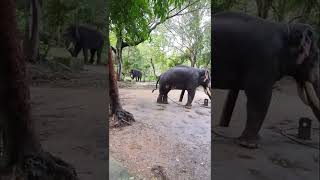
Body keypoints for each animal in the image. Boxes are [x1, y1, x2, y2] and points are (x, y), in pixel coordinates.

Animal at [212, 11, 320, 149]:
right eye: (316, 56)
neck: (286, 29)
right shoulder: (263, 59)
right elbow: (260, 96)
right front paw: (249, 145)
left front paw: (256, 140)